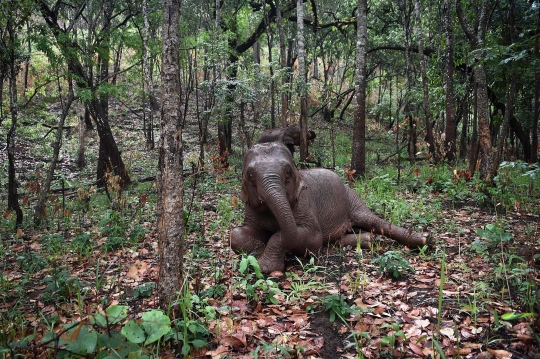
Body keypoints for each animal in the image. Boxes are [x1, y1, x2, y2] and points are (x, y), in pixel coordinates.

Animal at [231, 142, 430, 274]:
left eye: (288, 172)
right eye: (250, 175)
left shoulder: (304, 203)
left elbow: (313, 237)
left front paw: (265, 265)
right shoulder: (250, 209)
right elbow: (235, 234)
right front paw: (257, 249)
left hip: (351, 197)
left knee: (372, 220)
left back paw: (426, 239)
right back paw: (368, 240)